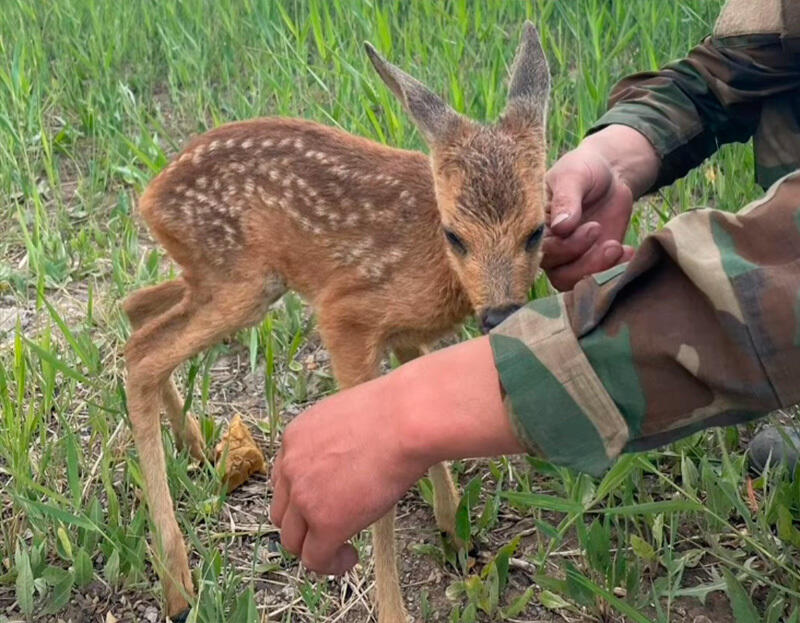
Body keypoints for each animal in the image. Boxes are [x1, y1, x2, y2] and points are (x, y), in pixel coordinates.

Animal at [122, 22, 550, 623]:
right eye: (455, 235)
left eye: (537, 229)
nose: (500, 314)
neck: (433, 263)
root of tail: (150, 197)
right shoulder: (347, 316)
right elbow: (376, 492)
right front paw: (394, 609)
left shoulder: (403, 337)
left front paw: (456, 534)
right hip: (241, 283)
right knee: (140, 356)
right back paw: (178, 584)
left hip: (223, 278)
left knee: (135, 310)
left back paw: (199, 450)